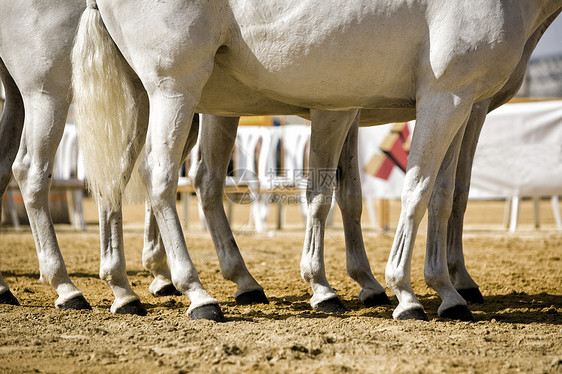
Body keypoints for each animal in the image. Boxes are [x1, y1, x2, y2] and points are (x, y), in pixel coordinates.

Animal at [71, 0, 560, 322]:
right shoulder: (450, 97)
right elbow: (418, 192)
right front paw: (406, 291)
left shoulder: (448, 101)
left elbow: (435, 194)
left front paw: (438, 286)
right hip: (174, 87)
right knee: (160, 178)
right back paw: (195, 293)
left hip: (145, 96)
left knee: (125, 178)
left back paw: (126, 289)